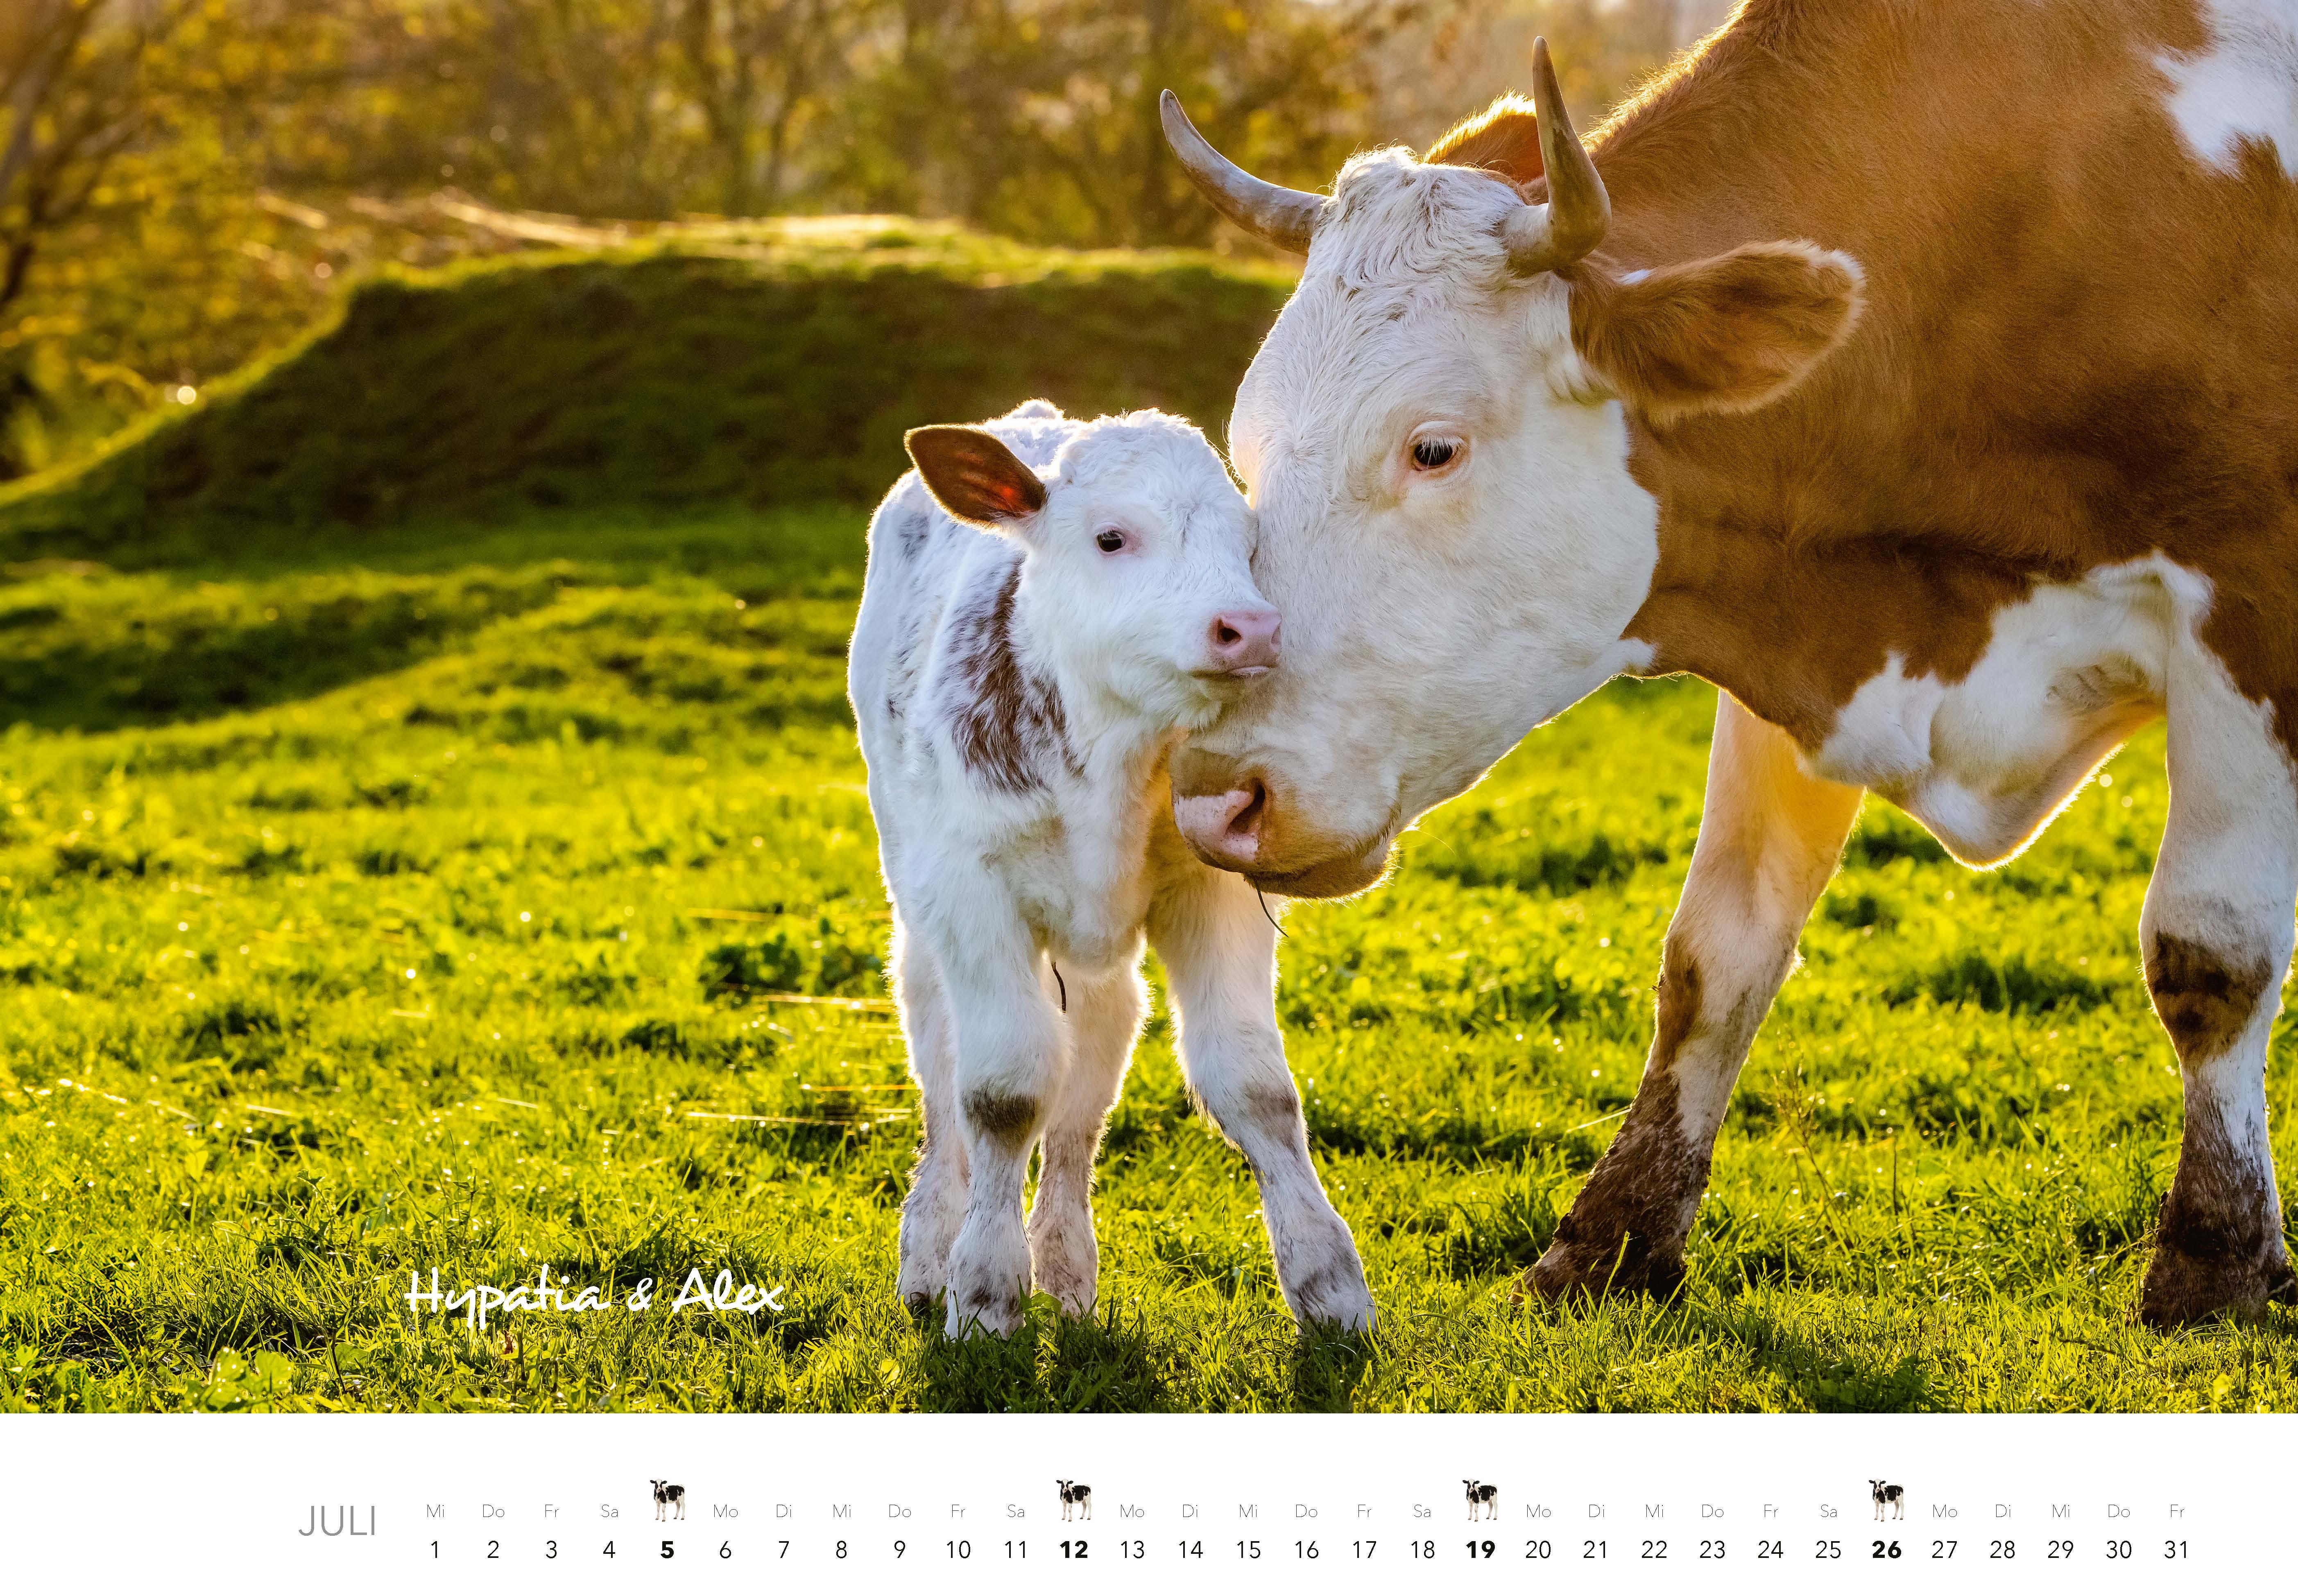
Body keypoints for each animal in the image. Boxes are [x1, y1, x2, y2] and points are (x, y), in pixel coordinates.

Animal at [849, 401, 1373, 1338]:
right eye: (1111, 537)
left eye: (1248, 543)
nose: (1252, 627)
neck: (1113, 751)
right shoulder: (971, 893)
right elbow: (1001, 1091)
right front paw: (983, 1292)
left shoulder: (1214, 890)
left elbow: (1255, 1084)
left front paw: (1329, 1284)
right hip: (915, 896)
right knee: (940, 1068)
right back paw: (928, 1253)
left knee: (1089, 1066)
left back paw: (1064, 1266)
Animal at [1158, 0, 2298, 1328]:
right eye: (1245, 449)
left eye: (1431, 448)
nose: (1214, 797)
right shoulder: (1807, 614)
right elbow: (1718, 950)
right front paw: (1611, 1238)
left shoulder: (2248, 611)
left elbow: (2208, 950)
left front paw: (2213, 1260)